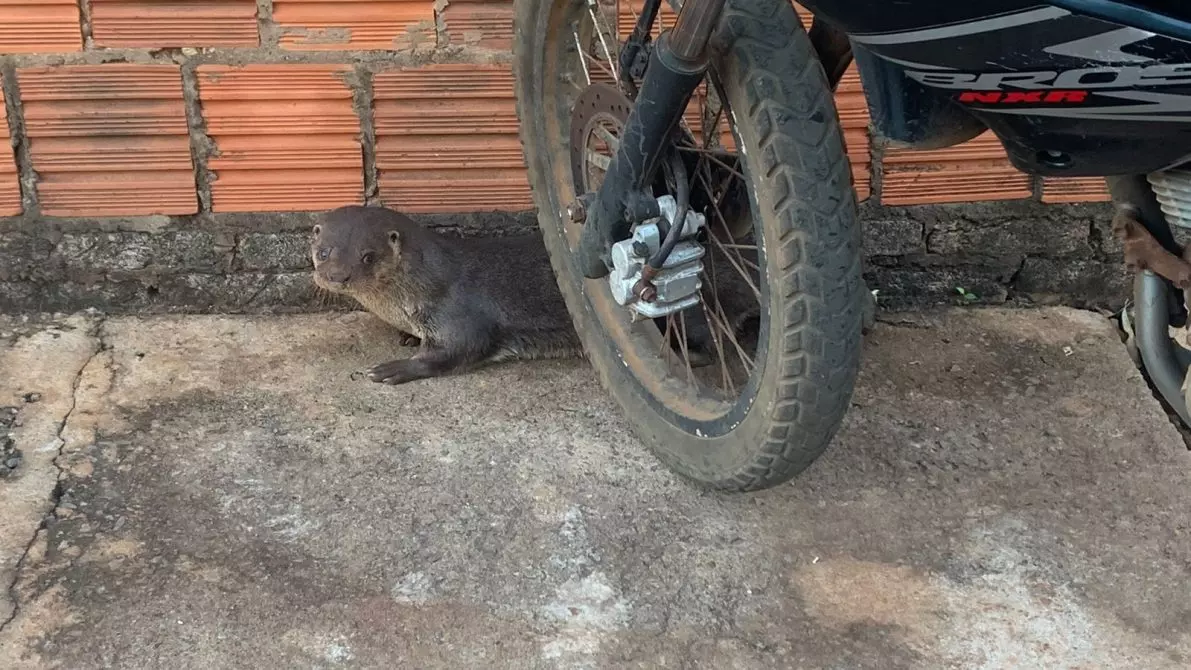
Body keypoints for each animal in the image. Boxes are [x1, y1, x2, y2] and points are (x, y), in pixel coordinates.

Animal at [312, 204, 581, 385]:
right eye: (323, 252)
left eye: (368, 257)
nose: (337, 276)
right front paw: (408, 337)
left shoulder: (459, 313)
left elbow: (462, 347)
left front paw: (396, 369)